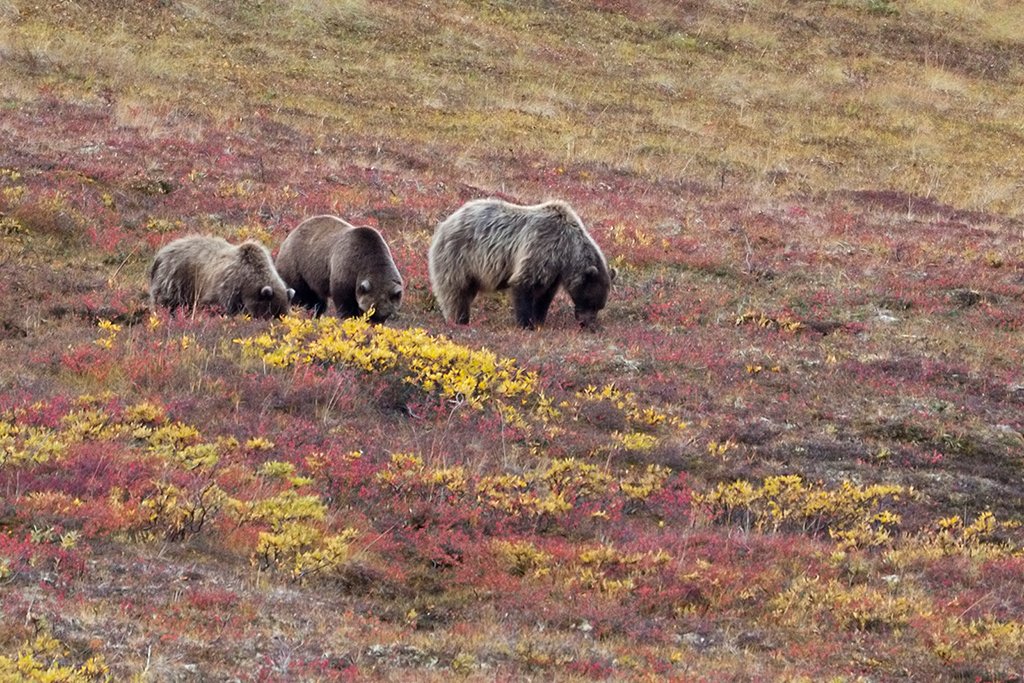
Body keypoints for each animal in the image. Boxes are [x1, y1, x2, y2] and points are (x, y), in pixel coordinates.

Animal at [148, 235, 294, 321]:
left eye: (282, 314)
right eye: (270, 313)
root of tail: (161, 253)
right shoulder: (225, 288)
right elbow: (215, 306)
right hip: (176, 280)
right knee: (169, 303)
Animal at [274, 216, 405, 323]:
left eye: (384, 315)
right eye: (369, 311)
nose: (373, 325)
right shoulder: (345, 269)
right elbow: (345, 302)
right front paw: (349, 318)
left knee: (318, 300)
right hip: (297, 265)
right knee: (301, 294)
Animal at [425, 198, 614, 329]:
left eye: (600, 306)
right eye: (591, 302)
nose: (588, 324)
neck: (566, 251)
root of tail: (446, 221)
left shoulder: (553, 270)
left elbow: (545, 294)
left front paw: (539, 319)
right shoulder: (541, 248)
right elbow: (525, 285)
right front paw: (526, 324)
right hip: (459, 257)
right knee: (455, 292)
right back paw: (459, 320)